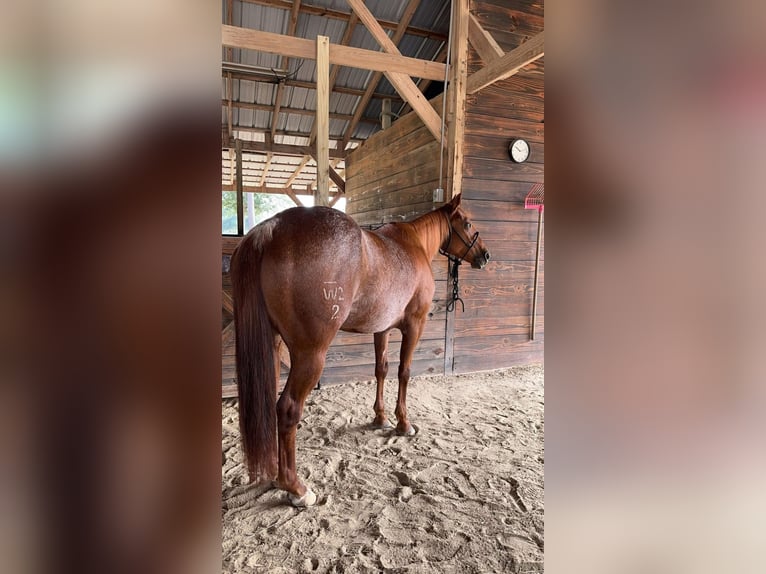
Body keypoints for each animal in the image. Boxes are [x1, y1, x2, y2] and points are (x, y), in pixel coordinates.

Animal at [230, 195, 492, 508]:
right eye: (467, 223)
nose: (485, 255)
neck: (413, 244)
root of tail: (271, 229)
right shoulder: (414, 325)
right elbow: (404, 372)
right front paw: (403, 423)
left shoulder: (383, 329)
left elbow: (381, 370)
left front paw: (380, 418)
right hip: (310, 355)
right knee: (288, 408)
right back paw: (296, 488)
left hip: (272, 346)